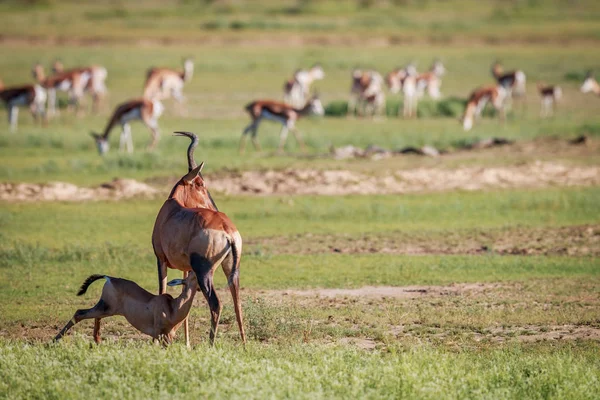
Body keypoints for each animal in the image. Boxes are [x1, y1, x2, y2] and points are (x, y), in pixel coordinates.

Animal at [54, 270, 199, 346]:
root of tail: (109, 278)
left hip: (105, 309)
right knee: (79, 313)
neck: (172, 307)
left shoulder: (168, 336)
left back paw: (98, 341)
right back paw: (53, 341)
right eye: (193, 273)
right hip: (106, 308)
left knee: (95, 316)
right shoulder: (160, 334)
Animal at [152, 133, 246, 346]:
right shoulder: (186, 268)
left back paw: (211, 344)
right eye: (201, 184)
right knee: (237, 301)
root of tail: (227, 230)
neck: (172, 210)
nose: (213, 206)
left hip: (205, 271)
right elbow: (185, 295)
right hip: (230, 268)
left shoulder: (161, 260)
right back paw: (245, 344)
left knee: (216, 304)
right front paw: (185, 342)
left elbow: (162, 290)